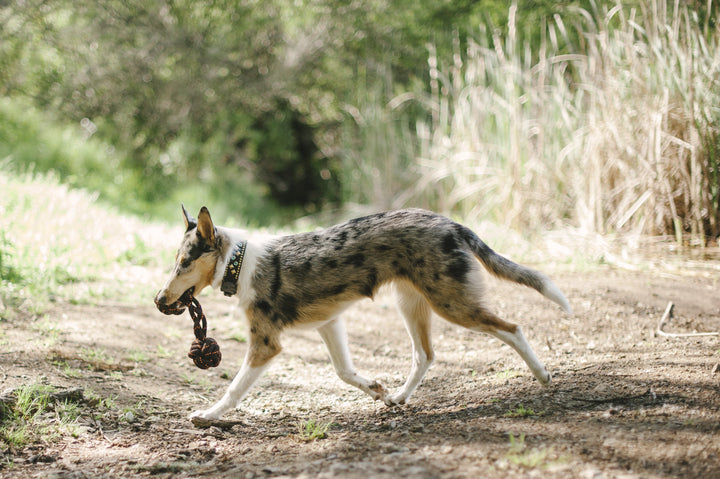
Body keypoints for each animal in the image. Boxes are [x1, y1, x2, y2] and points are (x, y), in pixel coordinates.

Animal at [155, 205, 572, 420]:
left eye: (183, 264)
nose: (159, 300)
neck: (238, 263)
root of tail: (450, 223)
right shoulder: (329, 323)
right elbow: (344, 372)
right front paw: (376, 390)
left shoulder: (265, 345)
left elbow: (233, 390)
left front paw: (208, 415)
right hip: (412, 305)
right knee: (425, 355)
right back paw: (398, 398)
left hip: (454, 305)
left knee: (512, 328)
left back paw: (543, 375)